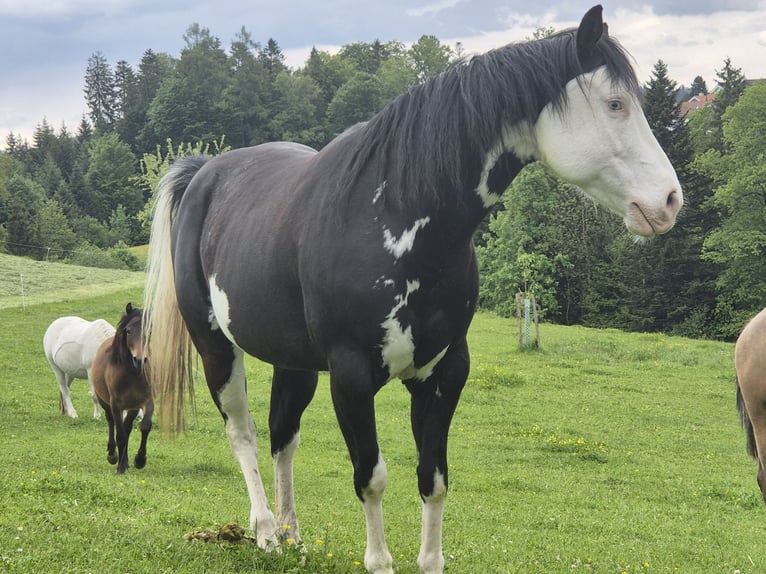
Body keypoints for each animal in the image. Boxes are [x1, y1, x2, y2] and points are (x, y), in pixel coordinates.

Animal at [91, 303, 153, 474]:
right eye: (129, 331)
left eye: (148, 331)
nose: (139, 360)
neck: (132, 373)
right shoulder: (116, 405)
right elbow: (120, 435)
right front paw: (119, 466)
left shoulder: (146, 401)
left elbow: (145, 426)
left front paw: (140, 460)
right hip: (105, 403)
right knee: (111, 422)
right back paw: (113, 455)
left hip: (132, 407)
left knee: (127, 428)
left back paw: (124, 461)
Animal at [143, 6, 682, 573]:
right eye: (615, 104)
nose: (670, 200)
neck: (395, 218)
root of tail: (204, 174)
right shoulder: (351, 377)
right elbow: (372, 477)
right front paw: (379, 559)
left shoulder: (444, 374)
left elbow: (433, 479)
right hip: (216, 349)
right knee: (243, 433)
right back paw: (266, 530)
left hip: (294, 361)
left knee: (282, 435)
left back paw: (292, 535)